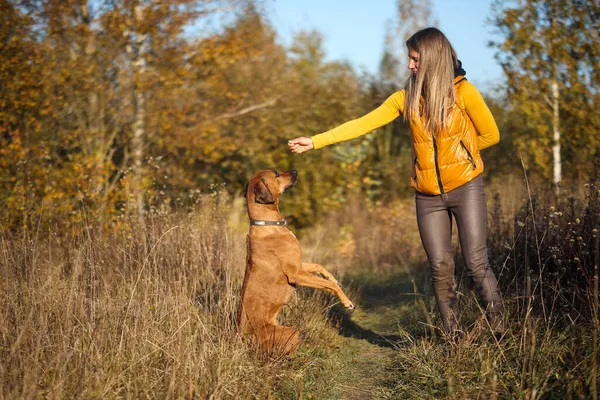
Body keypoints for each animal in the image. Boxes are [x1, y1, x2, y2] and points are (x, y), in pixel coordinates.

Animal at [237, 169, 354, 356]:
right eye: (276, 174)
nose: (295, 170)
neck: (267, 224)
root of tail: (243, 338)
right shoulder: (296, 274)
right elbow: (330, 286)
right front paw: (346, 301)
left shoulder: (299, 265)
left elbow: (318, 266)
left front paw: (331, 277)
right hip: (291, 332)